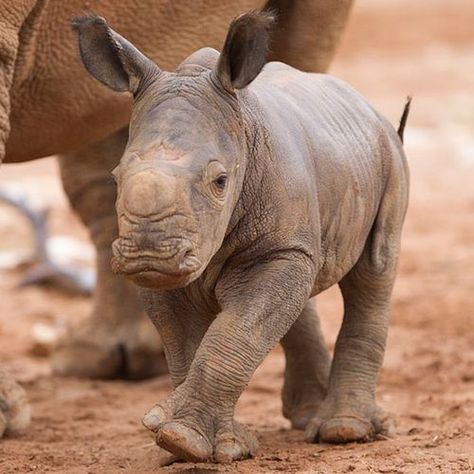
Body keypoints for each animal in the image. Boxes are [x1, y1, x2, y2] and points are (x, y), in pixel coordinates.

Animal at [73, 12, 408, 464]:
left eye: (220, 181)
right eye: (115, 178)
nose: (149, 254)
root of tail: (365, 105)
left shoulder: (273, 246)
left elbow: (235, 333)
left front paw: (186, 438)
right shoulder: (182, 264)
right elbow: (186, 342)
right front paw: (176, 439)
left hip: (388, 157)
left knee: (373, 272)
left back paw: (343, 430)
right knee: (303, 285)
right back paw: (310, 417)